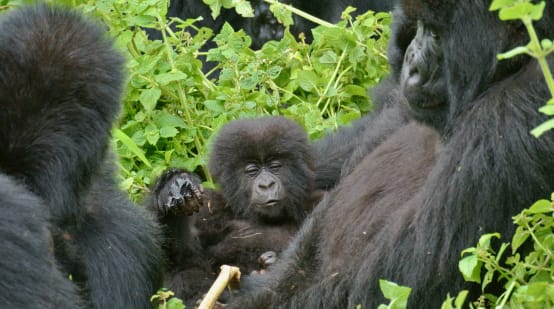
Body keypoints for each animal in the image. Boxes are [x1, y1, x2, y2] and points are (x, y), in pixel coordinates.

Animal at [147, 115, 320, 306]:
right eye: (252, 170)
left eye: (275, 166)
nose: (266, 185)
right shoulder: (209, 208)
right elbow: (180, 259)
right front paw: (171, 187)